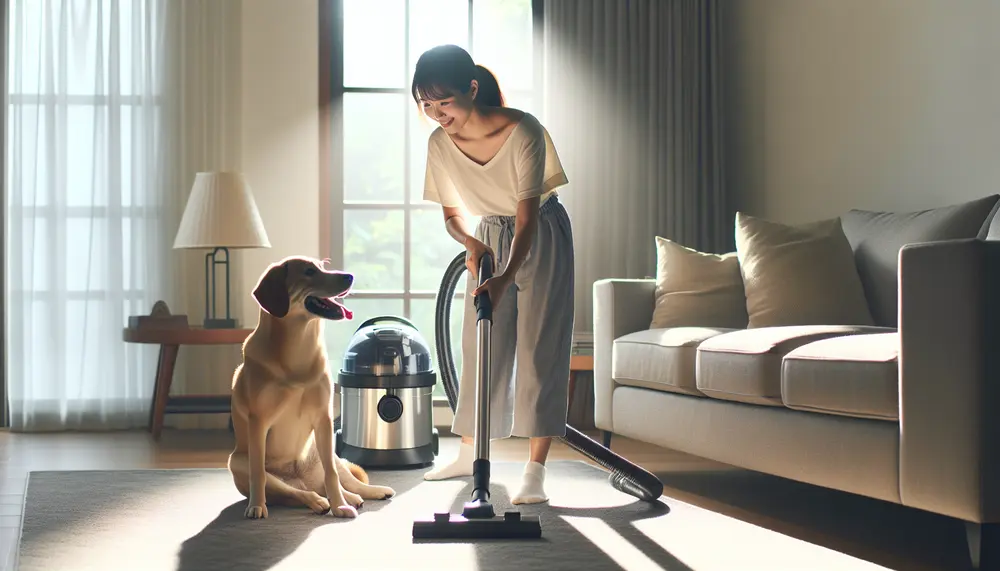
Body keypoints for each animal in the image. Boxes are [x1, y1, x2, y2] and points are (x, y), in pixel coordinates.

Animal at [229, 255, 396, 520]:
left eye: (323, 266)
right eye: (308, 272)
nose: (349, 276)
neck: (297, 347)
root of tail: (304, 480)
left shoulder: (323, 418)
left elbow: (333, 475)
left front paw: (340, 506)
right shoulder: (258, 422)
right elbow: (258, 474)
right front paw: (256, 505)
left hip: (328, 451)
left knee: (343, 480)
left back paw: (360, 494)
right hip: (238, 462)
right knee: (295, 492)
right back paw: (317, 501)